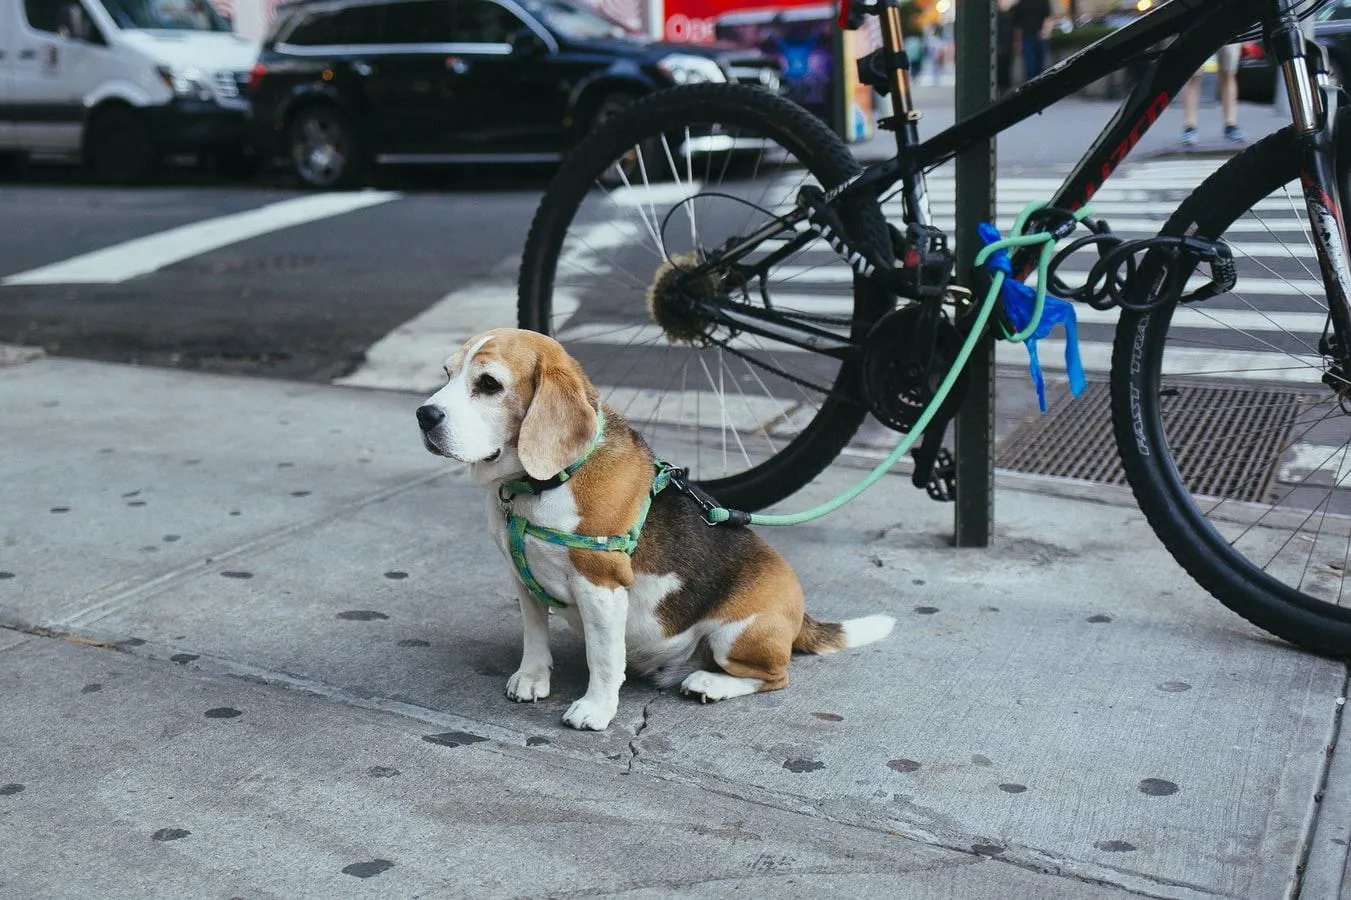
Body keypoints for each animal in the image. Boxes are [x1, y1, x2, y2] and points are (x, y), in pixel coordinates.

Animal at [416, 329, 891, 729]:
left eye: (489, 384)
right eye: (447, 373)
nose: (424, 415)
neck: (538, 485)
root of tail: (800, 614)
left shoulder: (601, 587)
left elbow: (605, 657)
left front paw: (595, 709)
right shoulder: (523, 578)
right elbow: (534, 636)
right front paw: (532, 678)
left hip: (737, 634)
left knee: (776, 675)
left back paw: (710, 683)